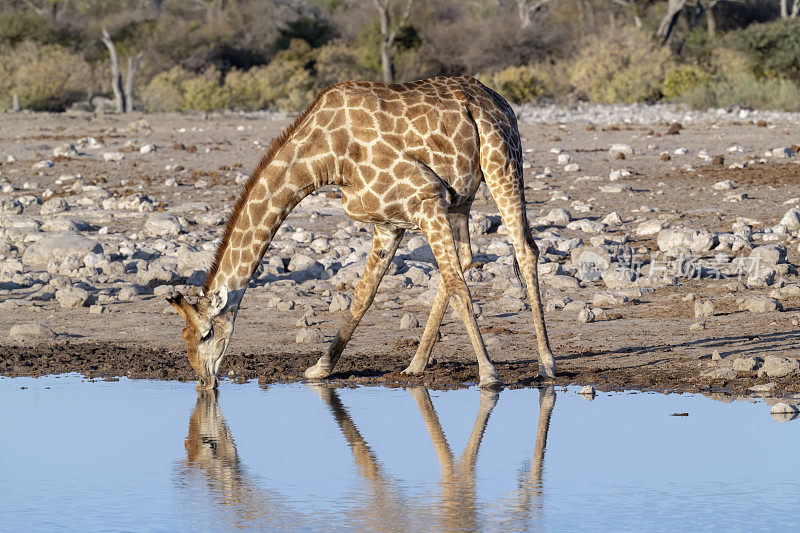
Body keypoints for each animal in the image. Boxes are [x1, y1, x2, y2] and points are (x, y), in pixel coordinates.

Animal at [169, 75, 556, 388]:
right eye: (183, 336)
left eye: (205, 334)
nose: (204, 380)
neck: (326, 158)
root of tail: (499, 101)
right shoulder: (388, 223)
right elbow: (363, 295)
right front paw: (320, 368)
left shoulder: (426, 195)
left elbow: (460, 288)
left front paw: (489, 374)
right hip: (462, 197)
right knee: (464, 260)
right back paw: (415, 364)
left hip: (503, 164)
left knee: (524, 251)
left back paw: (546, 364)